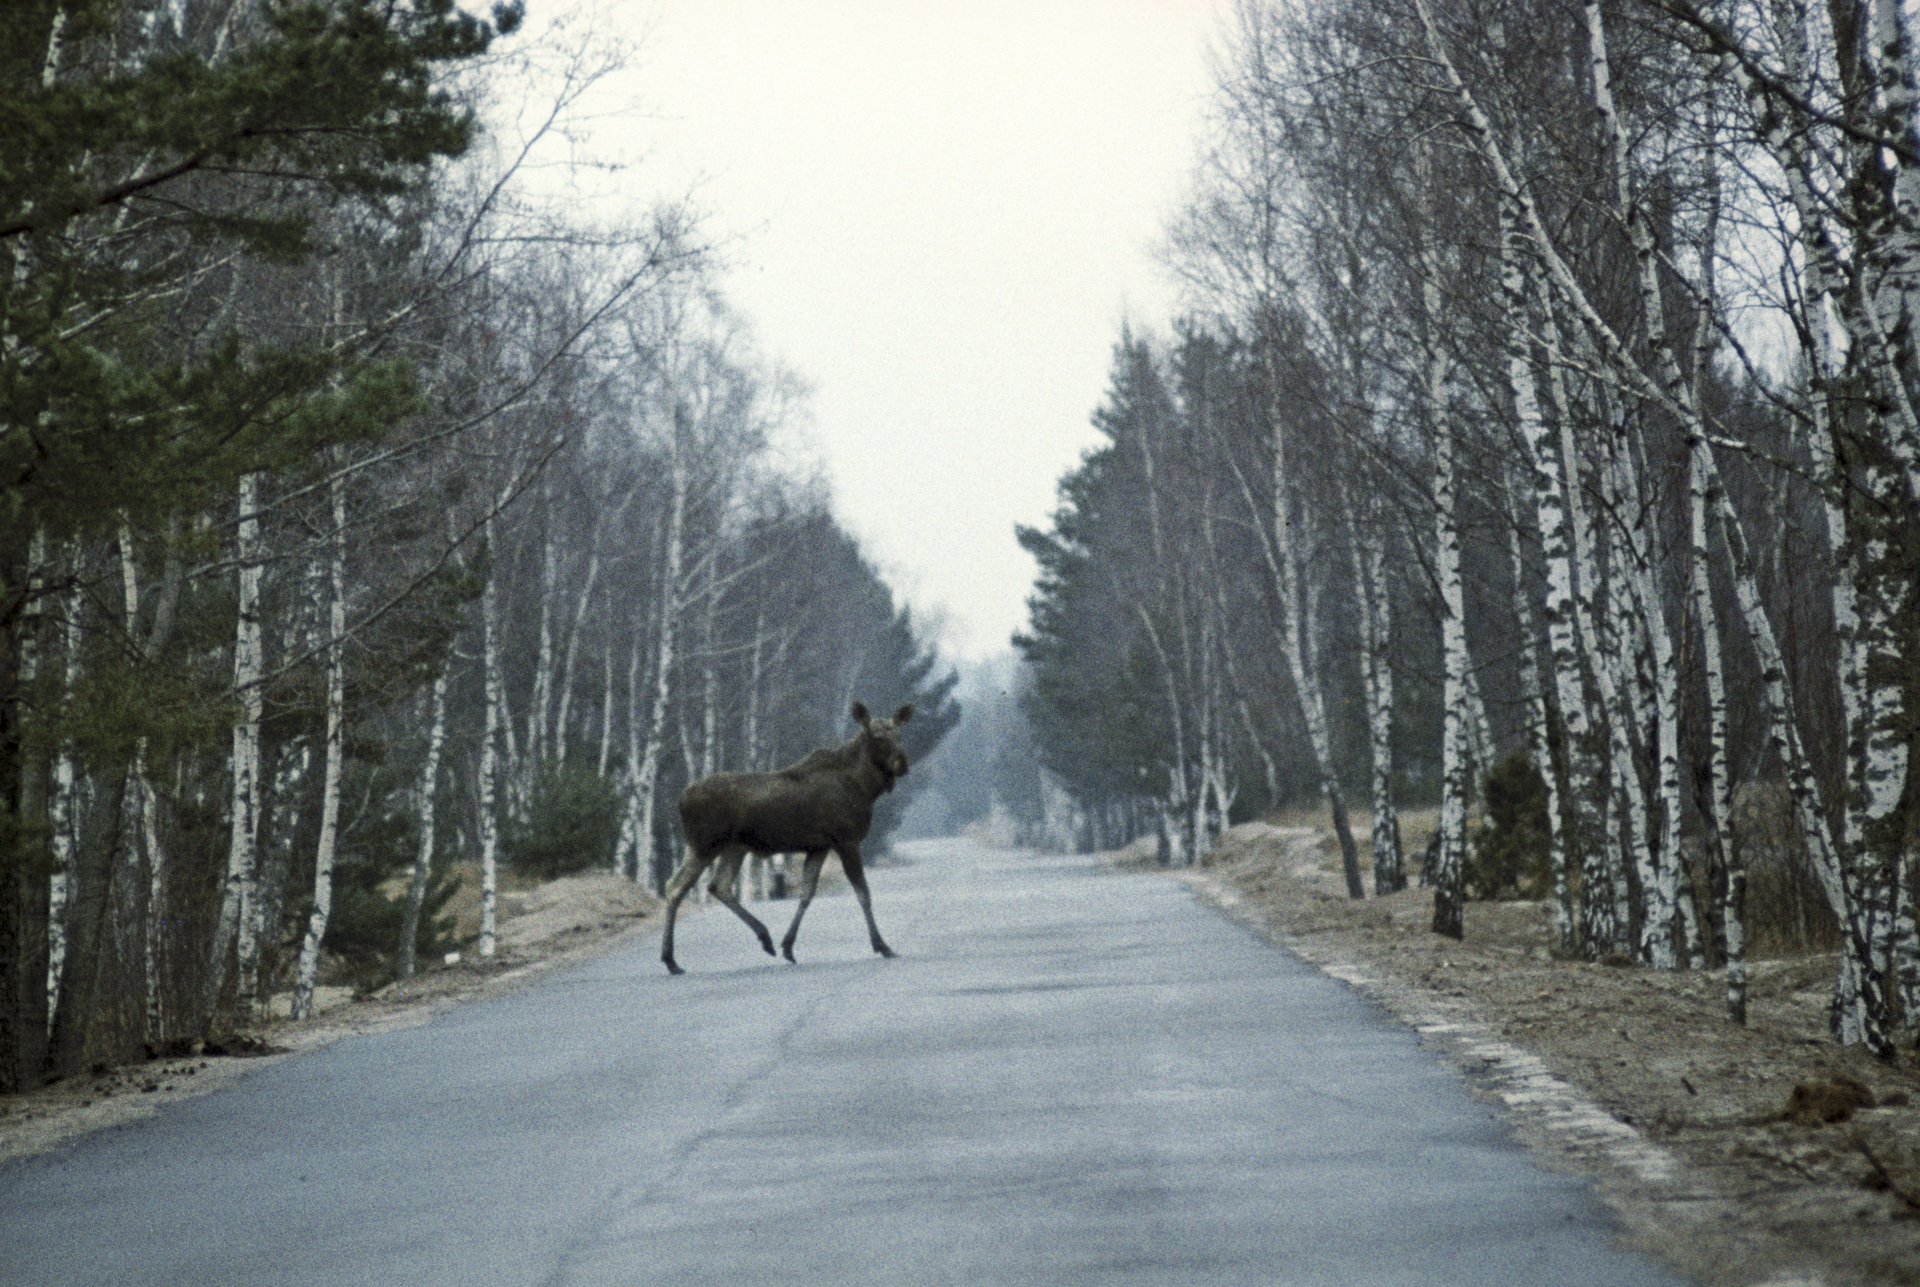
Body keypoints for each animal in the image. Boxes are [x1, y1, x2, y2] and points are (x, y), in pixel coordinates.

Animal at [660, 706, 913, 979]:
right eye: (877, 736)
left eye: (899, 733)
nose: (902, 762)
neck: (865, 787)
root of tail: (681, 799)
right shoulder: (846, 839)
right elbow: (863, 893)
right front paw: (883, 946)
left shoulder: (819, 846)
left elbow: (806, 893)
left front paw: (788, 947)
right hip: (704, 845)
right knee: (675, 886)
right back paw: (670, 960)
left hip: (733, 848)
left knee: (719, 886)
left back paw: (764, 938)